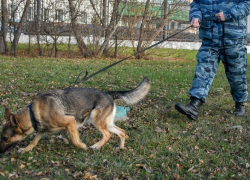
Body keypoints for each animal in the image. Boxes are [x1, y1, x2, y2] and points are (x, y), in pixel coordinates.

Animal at [0, 76, 149, 154]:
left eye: (5, 138)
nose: (0, 153)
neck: (32, 114)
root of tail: (109, 93)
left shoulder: (70, 122)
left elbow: (75, 140)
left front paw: (83, 146)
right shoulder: (42, 130)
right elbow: (34, 141)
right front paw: (25, 149)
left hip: (96, 120)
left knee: (107, 135)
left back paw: (96, 146)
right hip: (107, 123)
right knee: (122, 132)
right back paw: (121, 147)